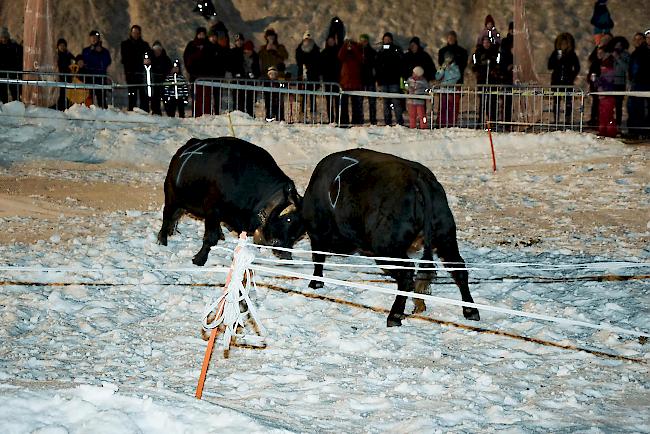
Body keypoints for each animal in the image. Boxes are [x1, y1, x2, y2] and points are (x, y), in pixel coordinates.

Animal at [157, 137, 298, 264]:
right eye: (288, 219)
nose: (287, 255)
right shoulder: (212, 210)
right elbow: (210, 237)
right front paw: (199, 259)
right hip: (172, 197)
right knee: (167, 215)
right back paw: (162, 240)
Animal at [260, 148, 478, 326]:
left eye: (286, 219)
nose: (272, 243)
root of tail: (418, 177)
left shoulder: (317, 234)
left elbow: (318, 259)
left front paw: (315, 283)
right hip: (445, 237)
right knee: (458, 269)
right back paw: (470, 310)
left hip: (389, 248)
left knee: (407, 274)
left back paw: (394, 315)